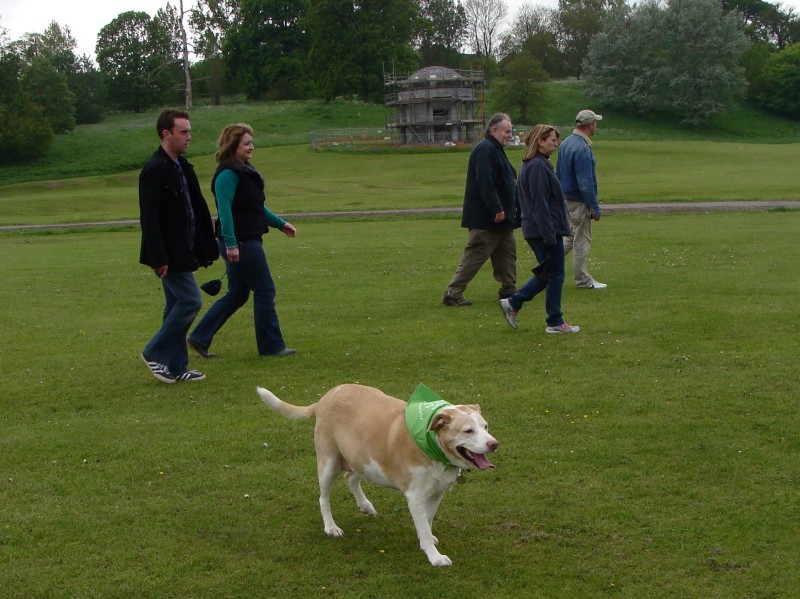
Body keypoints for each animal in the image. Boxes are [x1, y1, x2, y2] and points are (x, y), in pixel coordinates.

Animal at [256, 384, 496, 568]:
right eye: (468, 431)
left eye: (486, 426)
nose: (494, 444)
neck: (431, 443)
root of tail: (325, 398)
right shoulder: (415, 496)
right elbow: (425, 528)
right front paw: (435, 556)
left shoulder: (436, 494)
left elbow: (426, 521)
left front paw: (426, 538)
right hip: (329, 463)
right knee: (324, 498)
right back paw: (331, 527)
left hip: (360, 458)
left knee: (351, 478)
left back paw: (365, 506)